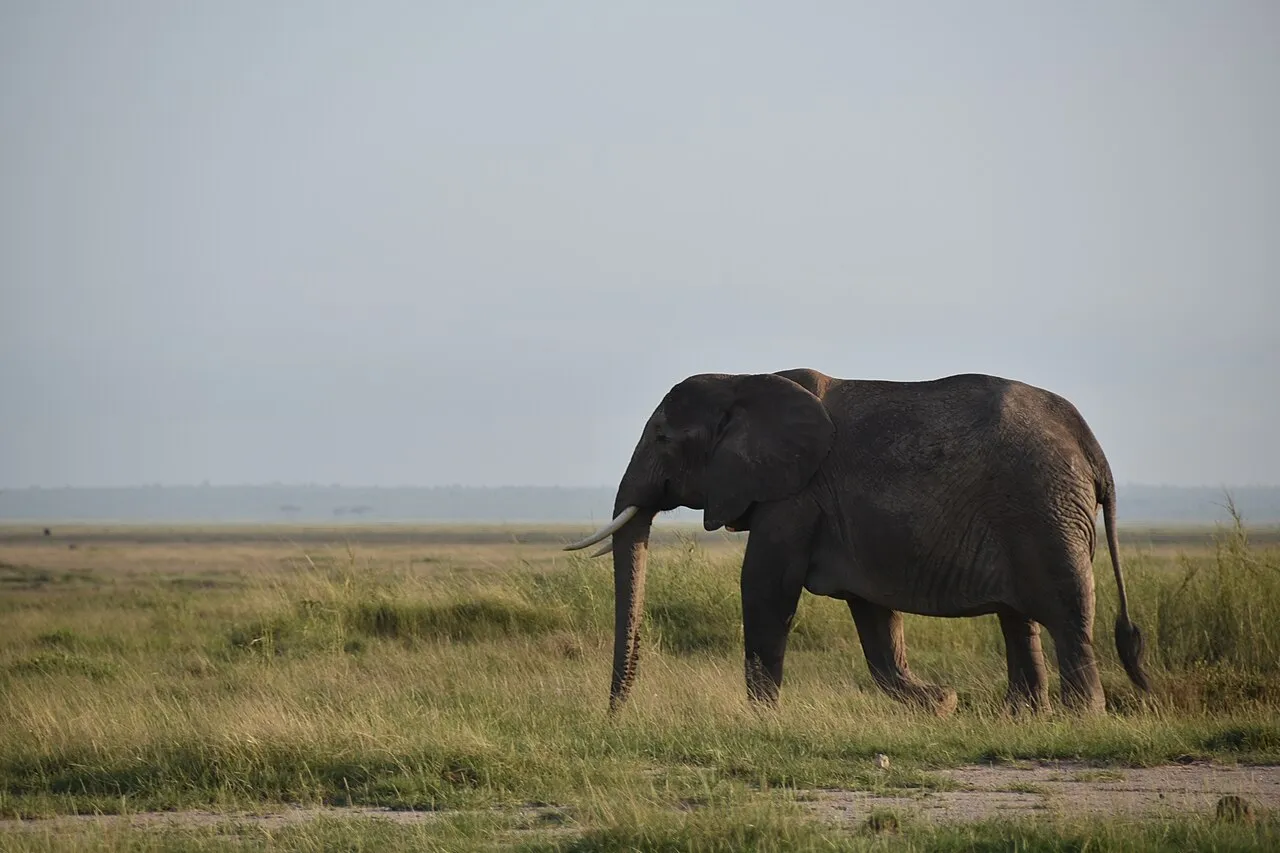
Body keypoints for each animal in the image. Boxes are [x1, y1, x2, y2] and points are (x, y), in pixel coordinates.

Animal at [563, 368, 1150, 716]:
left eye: (663, 438)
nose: (613, 718)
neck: (745, 380)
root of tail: (1090, 444)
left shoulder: (795, 496)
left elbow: (765, 587)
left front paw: (759, 720)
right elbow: (873, 614)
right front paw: (939, 703)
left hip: (1043, 511)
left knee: (1067, 614)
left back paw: (1078, 718)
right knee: (1019, 620)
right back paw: (1021, 718)